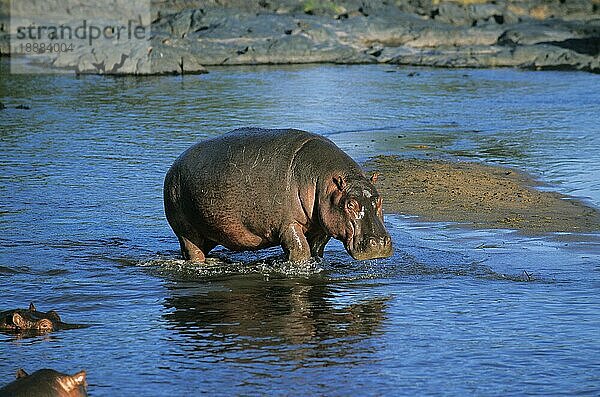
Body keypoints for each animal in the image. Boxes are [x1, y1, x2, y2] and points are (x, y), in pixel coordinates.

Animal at [163, 127, 394, 262]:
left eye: (379, 199)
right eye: (350, 204)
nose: (380, 242)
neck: (323, 182)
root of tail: (174, 165)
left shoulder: (322, 227)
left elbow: (316, 250)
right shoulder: (288, 224)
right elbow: (300, 250)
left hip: (210, 230)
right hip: (185, 229)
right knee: (193, 250)